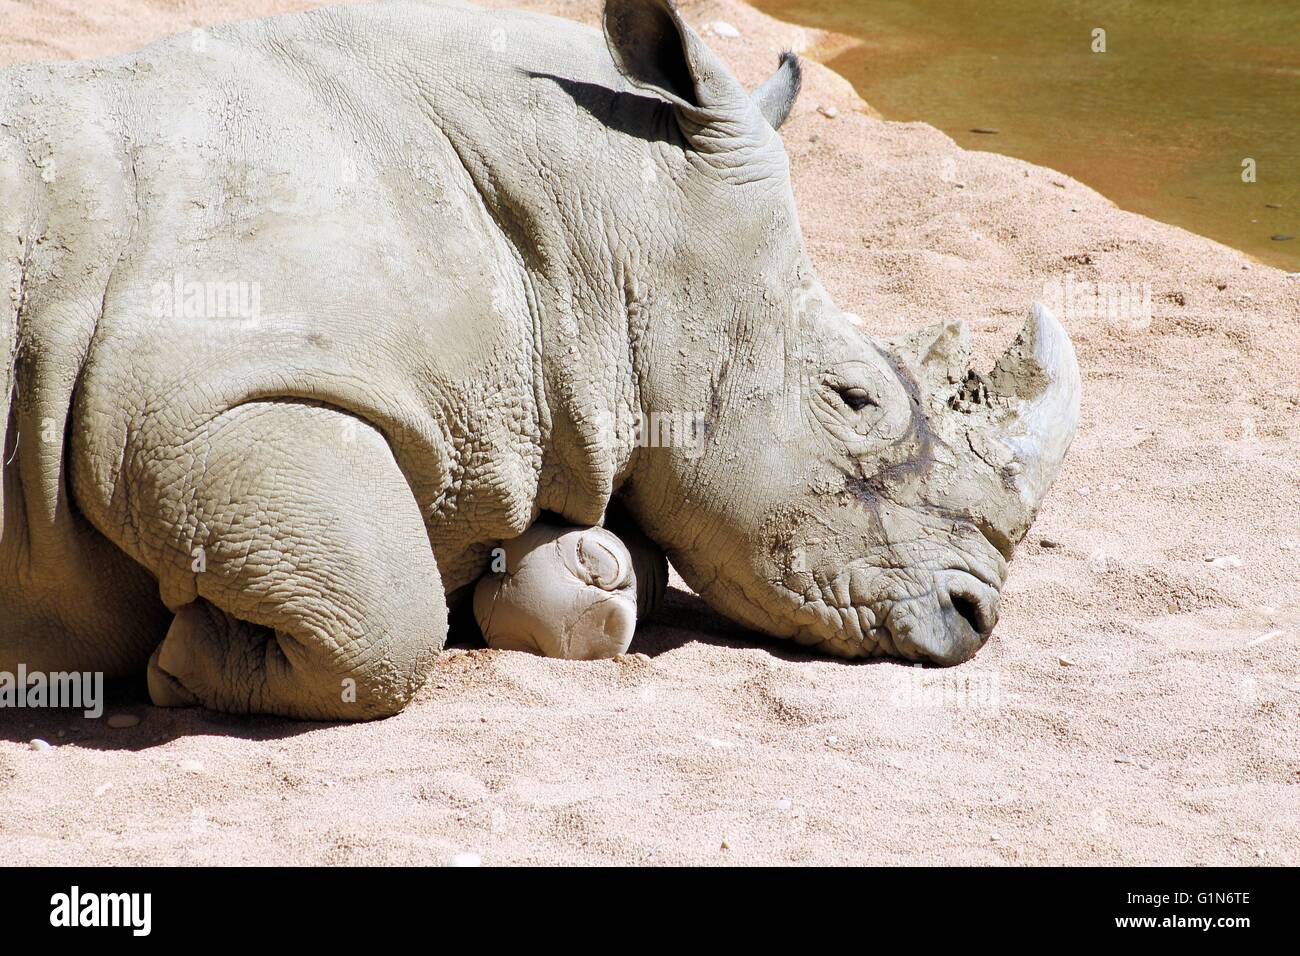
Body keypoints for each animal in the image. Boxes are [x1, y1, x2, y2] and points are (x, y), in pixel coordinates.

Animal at [0, 0, 1079, 720]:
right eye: (855, 399)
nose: (974, 616)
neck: (596, 228)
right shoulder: (184, 401)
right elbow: (383, 614)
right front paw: (180, 664)